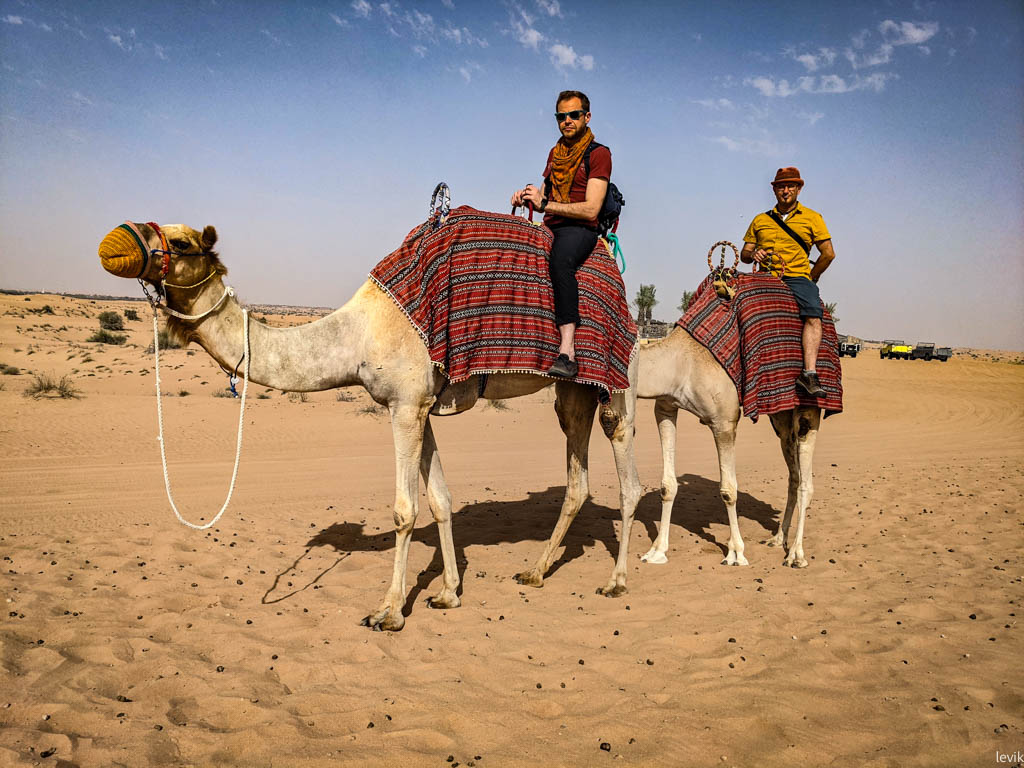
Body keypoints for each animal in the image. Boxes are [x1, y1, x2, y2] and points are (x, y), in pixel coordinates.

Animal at [98, 221, 642, 631]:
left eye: (181, 243)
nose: (113, 243)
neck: (356, 336)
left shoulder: (404, 406)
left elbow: (405, 510)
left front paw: (389, 611)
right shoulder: (419, 406)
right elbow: (441, 500)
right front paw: (448, 594)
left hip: (616, 379)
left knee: (626, 470)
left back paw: (616, 582)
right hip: (572, 392)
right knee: (577, 476)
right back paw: (534, 572)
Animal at [635, 326, 821, 568]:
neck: (679, 362)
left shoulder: (724, 422)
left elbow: (728, 490)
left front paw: (735, 553)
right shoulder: (665, 408)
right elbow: (667, 486)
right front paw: (657, 551)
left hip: (808, 411)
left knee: (806, 484)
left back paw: (796, 555)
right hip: (781, 417)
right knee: (794, 477)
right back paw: (778, 539)